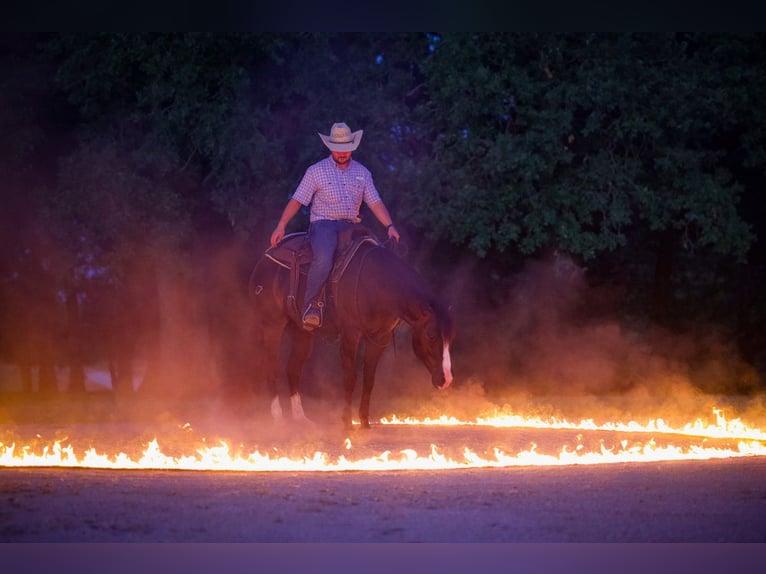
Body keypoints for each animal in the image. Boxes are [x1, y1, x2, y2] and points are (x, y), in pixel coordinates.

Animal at [248, 228, 456, 428]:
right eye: (431, 335)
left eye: (450, 338)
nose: (446, 380)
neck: (377, 284)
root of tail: (265, 257)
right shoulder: (350, 335)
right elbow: (350, 377)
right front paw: (347, 421)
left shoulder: (379, 339)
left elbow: (369, 379)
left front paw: (364, 420)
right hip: (272, 325)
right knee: (271, 366)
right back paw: (278, 417)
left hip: (302, 331)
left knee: (293, 369)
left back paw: (300, 418)